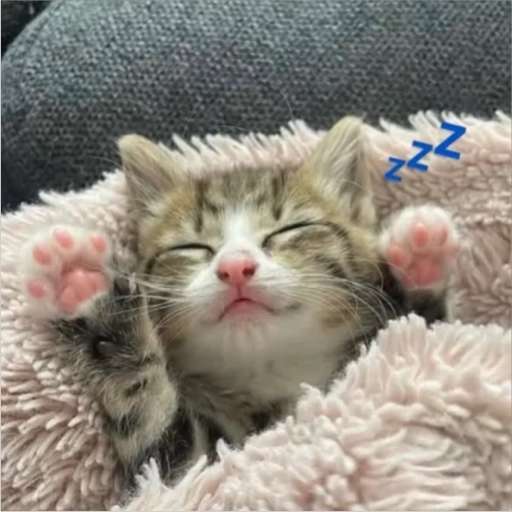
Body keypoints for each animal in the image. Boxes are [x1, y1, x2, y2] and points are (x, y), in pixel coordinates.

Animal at [20, 116, 460, 490]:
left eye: (291, 229)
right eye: (192, 247)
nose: (235, 267)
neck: (269, 375)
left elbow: (417, 340)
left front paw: (418, 256)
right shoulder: (180, 470)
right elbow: (161, 448)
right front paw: (83, 281)